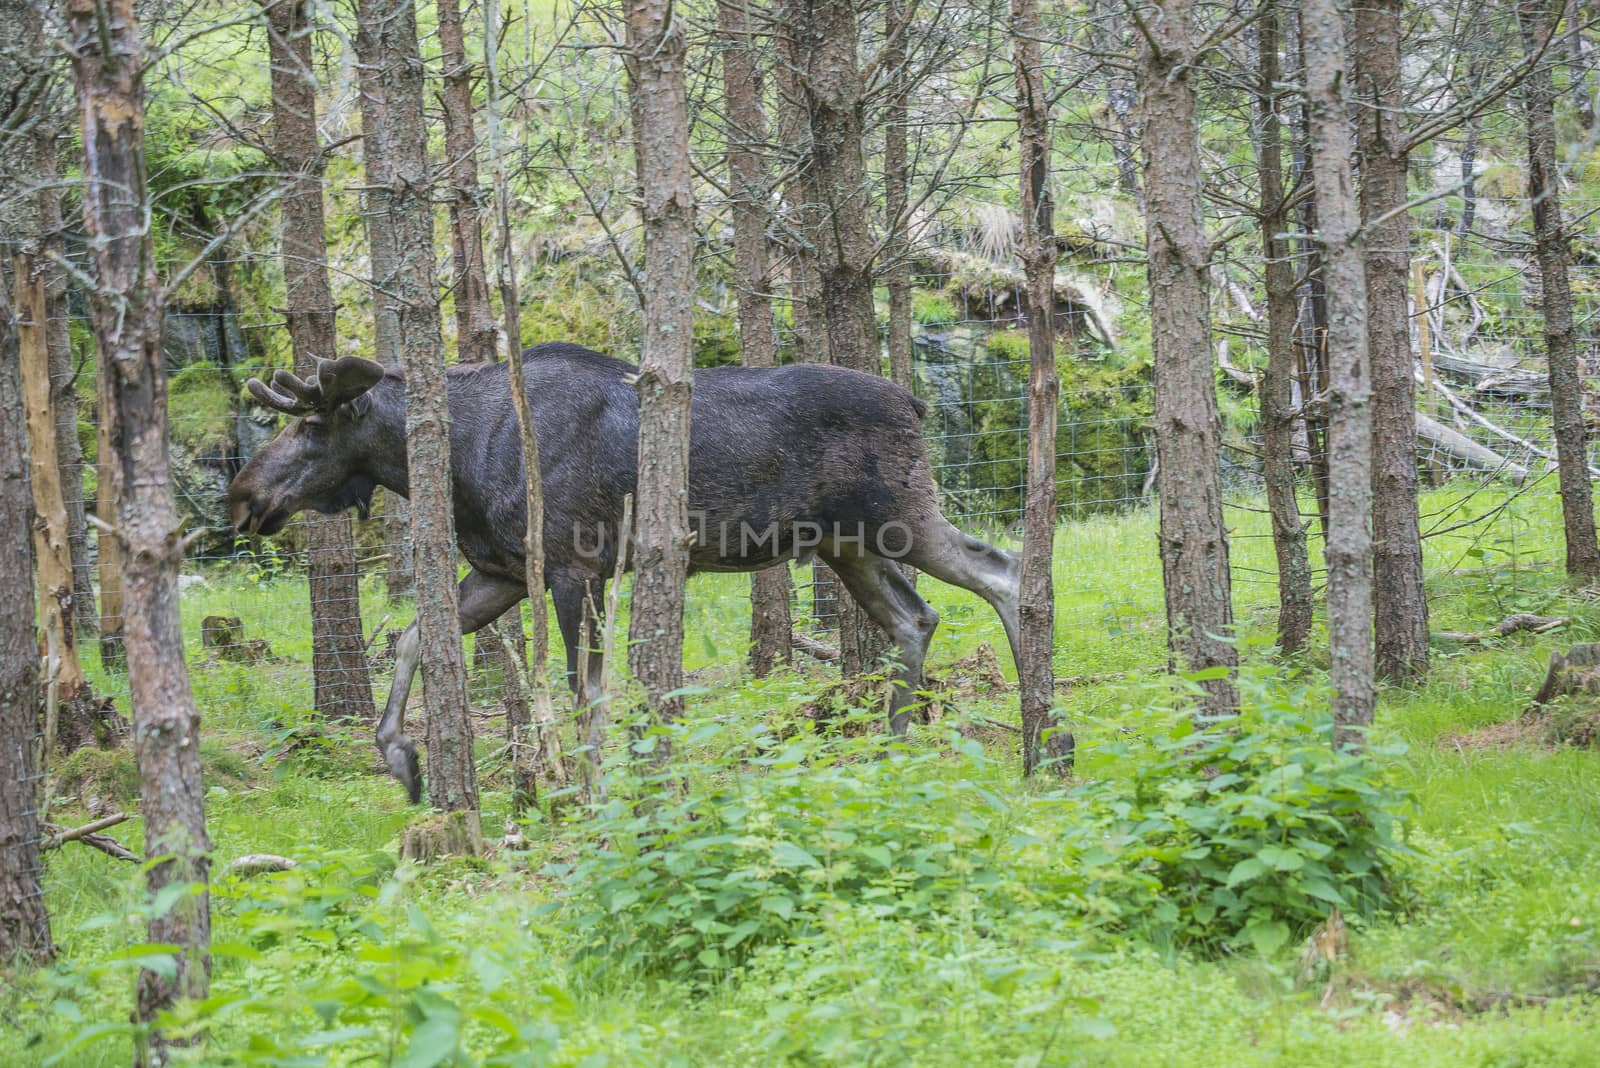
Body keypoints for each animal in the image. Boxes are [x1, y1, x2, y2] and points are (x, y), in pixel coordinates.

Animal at [228, 342, 1024, 799]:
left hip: (901, 515)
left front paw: (595, 796)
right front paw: (401, 756)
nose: (241, 497)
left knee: (1002, 571)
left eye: (310, 424)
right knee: (916, 617)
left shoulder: (574, 565)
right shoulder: (504, 571)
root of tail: (915, 401)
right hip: (847, 543)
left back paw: (1036, 733)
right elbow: (414, 636)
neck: (461, 462)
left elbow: (587, 691)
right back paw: (895, 746)